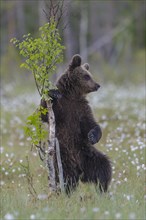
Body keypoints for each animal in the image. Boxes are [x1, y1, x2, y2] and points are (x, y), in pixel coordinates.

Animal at [41, 55, 112, 194]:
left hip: (87, 154)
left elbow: (91, 123)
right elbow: (44, 113)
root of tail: (80, 170)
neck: (72, 95)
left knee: (103, 167)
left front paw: (92, 136)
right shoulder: (62, 110)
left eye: (90, 74)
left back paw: (102, 189)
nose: (97, 85)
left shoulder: (81, 109)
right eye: (86, 76)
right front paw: (52, 93)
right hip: (64, 157)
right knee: (67, 178)